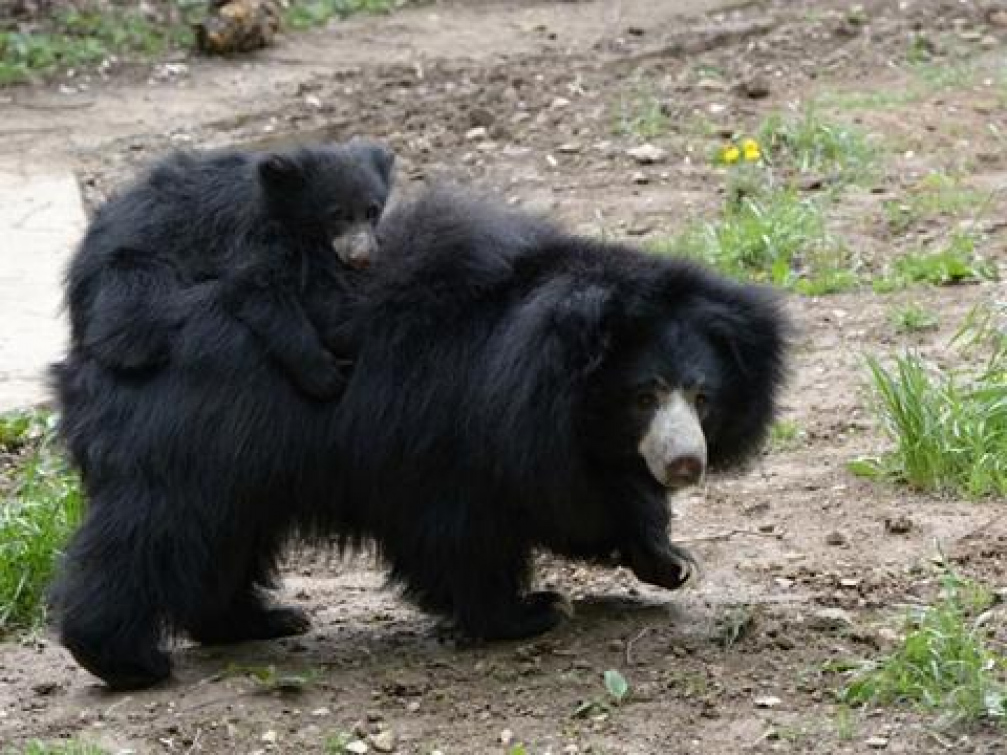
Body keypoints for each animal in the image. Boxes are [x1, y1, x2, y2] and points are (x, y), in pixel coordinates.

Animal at [51, 188, 785, 692]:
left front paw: (666, 557)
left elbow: (587, 493)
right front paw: (527, 610)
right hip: (189, 447)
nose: (685, 463)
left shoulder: (565, 438)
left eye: (702, 396)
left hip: (236, 463)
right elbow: (463, 533)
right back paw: (129, 660)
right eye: (644, 394)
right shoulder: (448, 436)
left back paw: (259, 620)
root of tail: (110, 335)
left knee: (219, 539)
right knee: (152, 533)